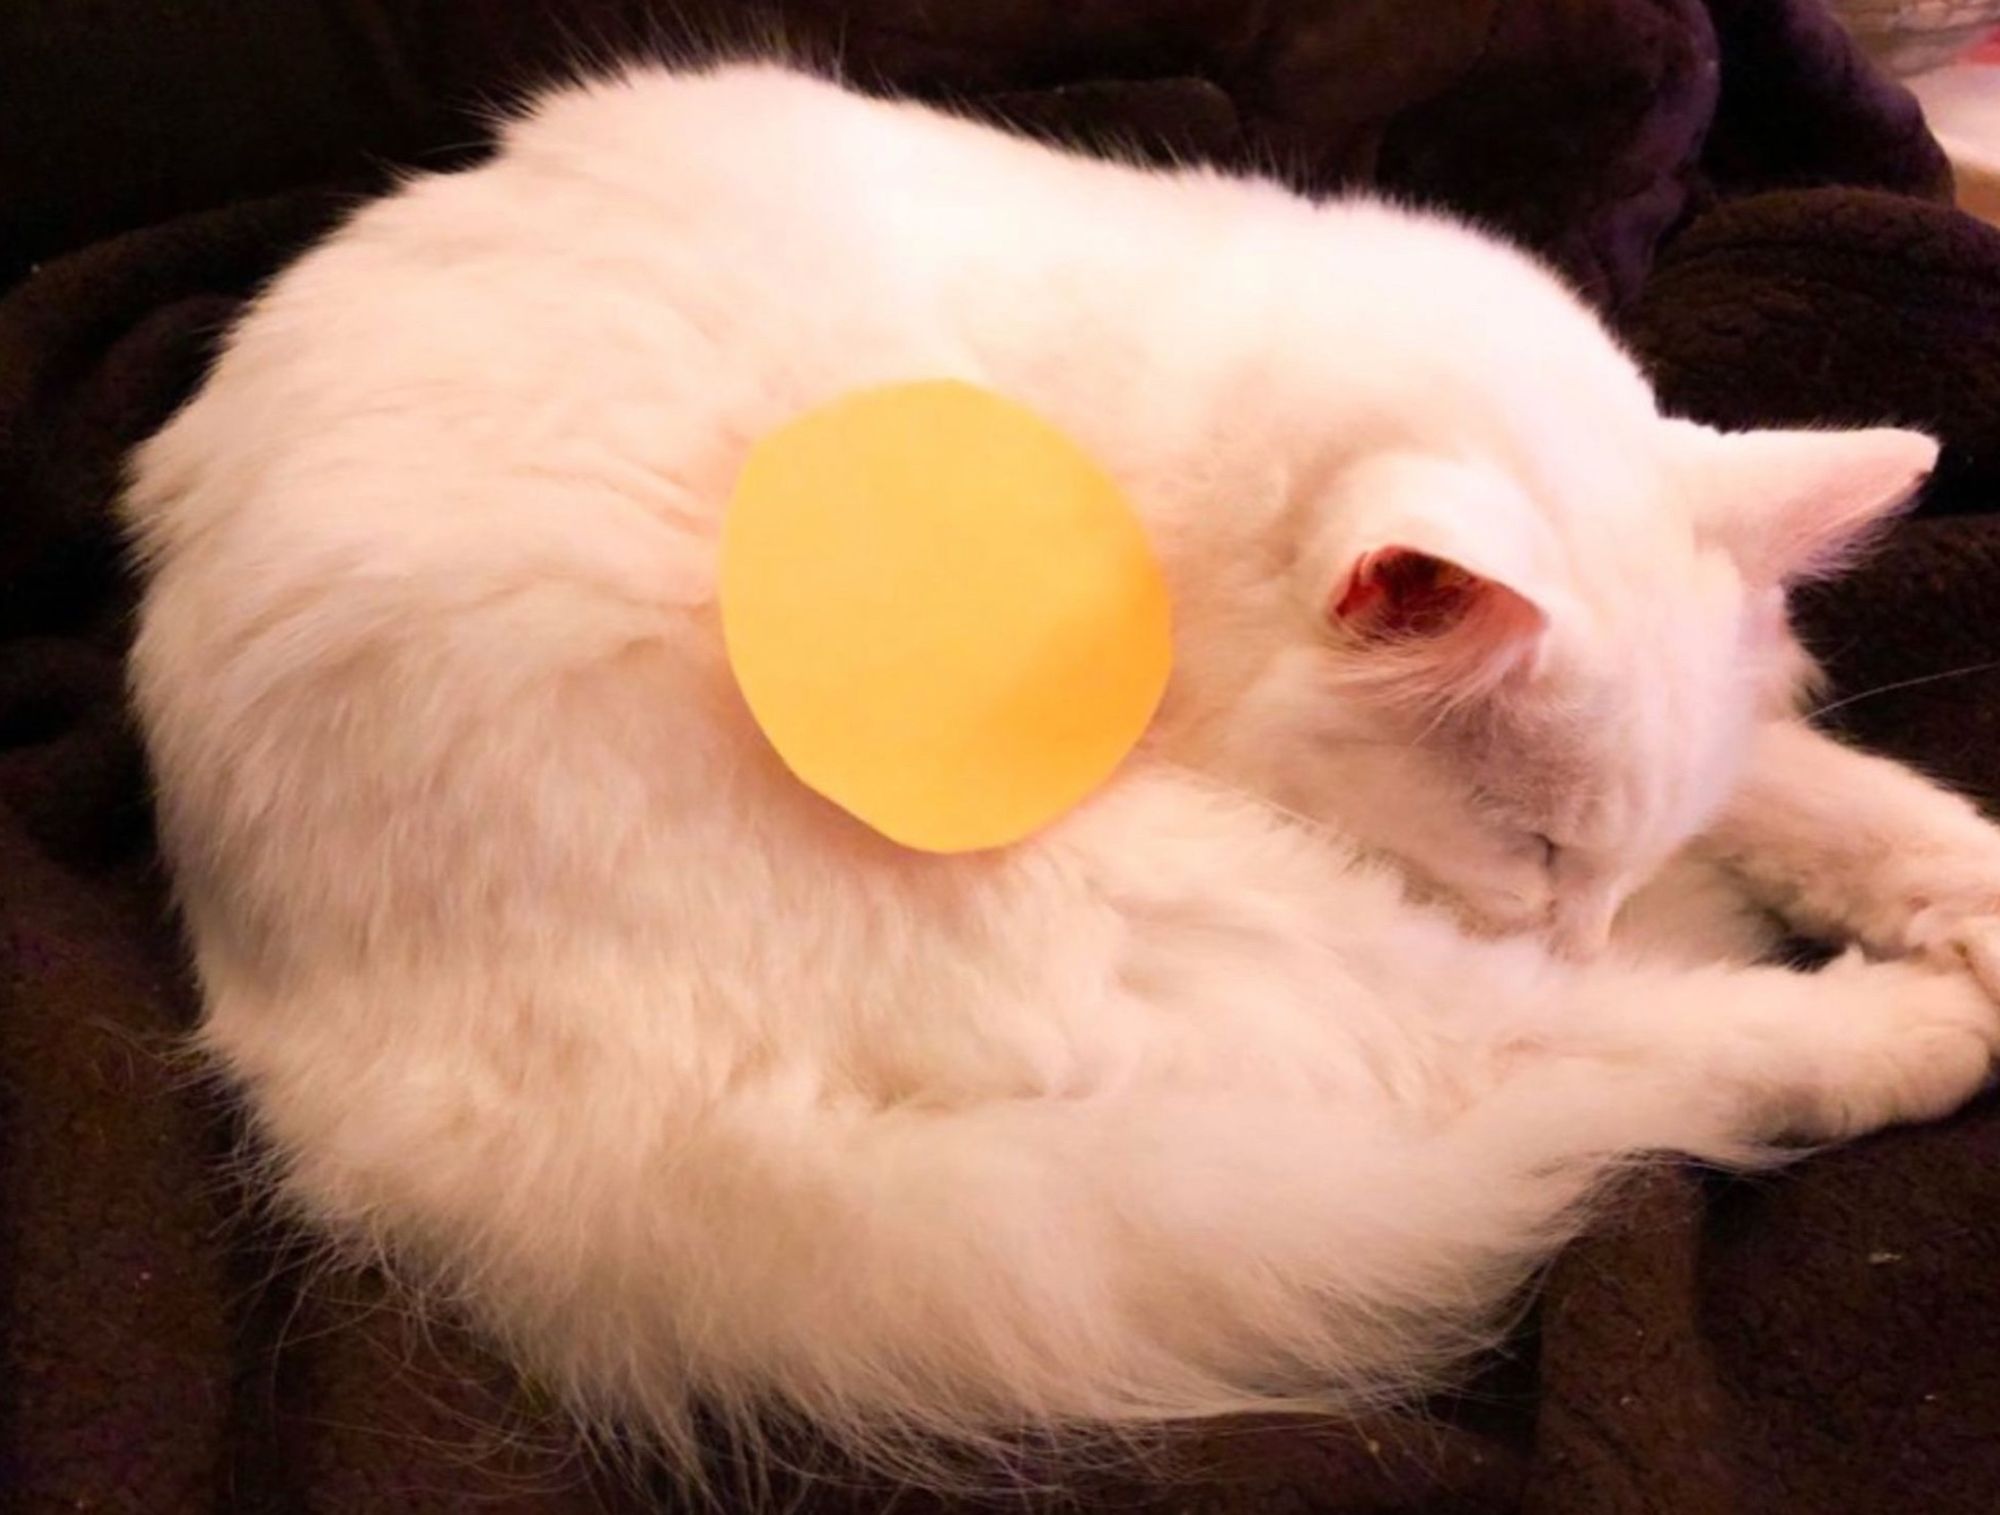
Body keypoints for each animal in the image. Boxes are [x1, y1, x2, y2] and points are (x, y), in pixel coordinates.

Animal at [121, 62, 2000, 1487]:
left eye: (1591, 856)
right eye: (1529, 842)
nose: (1589, 923)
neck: (1160, 486)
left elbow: (1801, 780)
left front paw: (1949, 874)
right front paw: (1915, 950)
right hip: (1181, 907)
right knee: (1574, 1055)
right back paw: (1918, 1025)